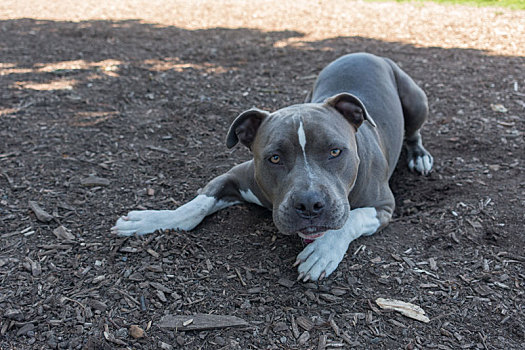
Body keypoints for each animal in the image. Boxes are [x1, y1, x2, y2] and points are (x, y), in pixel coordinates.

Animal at [111, 52, 434, 282]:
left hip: (416, 101)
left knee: (415, 131)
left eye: (335, 151)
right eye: (274, 158)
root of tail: (365, 52)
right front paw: (151, 219)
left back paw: (419, 156)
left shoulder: (383, 206)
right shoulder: (235, 176)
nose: (310, 204)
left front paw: (323, 251)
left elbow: (350, 219)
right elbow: (195, 206)